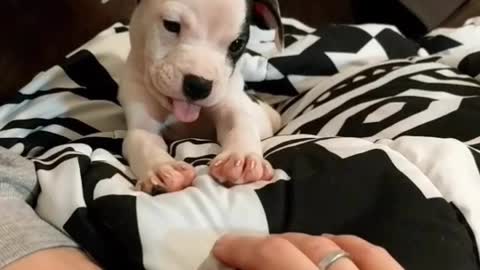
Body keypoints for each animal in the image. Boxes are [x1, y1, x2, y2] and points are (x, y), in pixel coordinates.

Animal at [119, 0, 284, 194]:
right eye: (171, 25)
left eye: (236, 44)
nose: (199, 86)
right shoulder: (142, 124)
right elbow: (144, 142)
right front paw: (162, 169)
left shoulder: (229, 104)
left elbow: (239, 123)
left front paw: (242, 158)